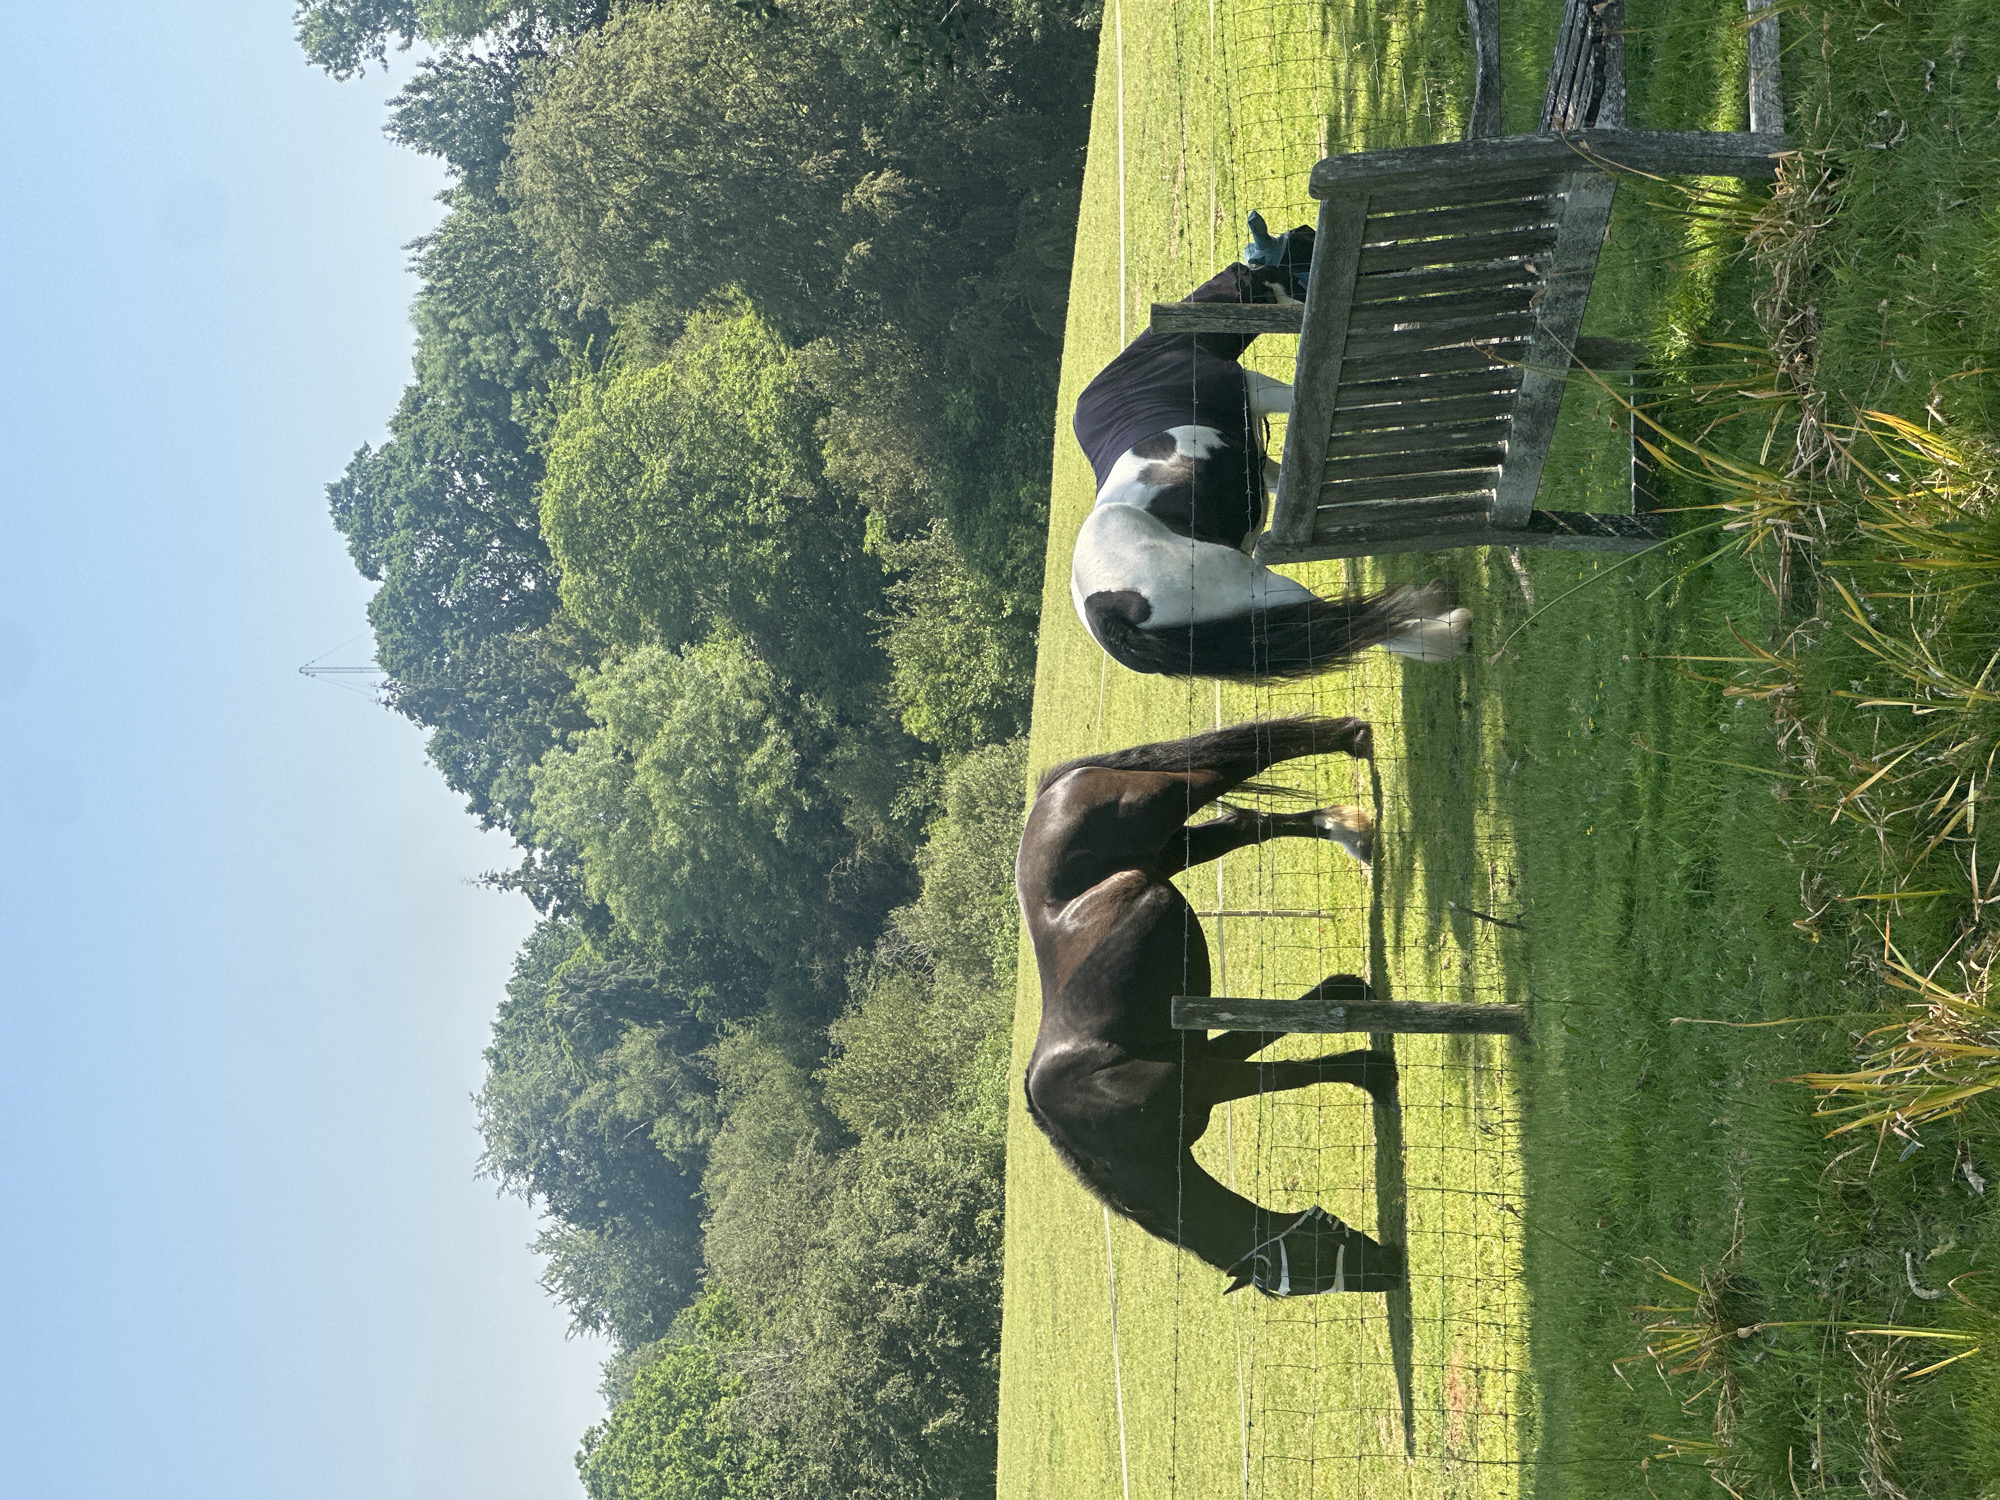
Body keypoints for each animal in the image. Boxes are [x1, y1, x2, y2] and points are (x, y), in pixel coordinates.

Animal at [1016, 714, 1403, 1296]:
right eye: (1306, 1271)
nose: (1390, 1270)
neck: (1101, 1117)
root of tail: (1050, 794)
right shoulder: (1205, 1060)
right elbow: (1273, 1041)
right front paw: (1352, 1009)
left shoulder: (1205, 1076)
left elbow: (1287, 1072)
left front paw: (1377, 1073)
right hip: (1176, 848)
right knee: (1250, 824)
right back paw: (1350, 829)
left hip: (1173, 800)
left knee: (1241, 760)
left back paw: (1353, 741)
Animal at [1070, 214, 1472, 681]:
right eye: (1303, 249)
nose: (1392, 268)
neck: (1167, 350)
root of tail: (1106, 614)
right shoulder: (1260, 390)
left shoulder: (1254, 464)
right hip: (1259, 588)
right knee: (1352, 626)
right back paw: (1446, 630)